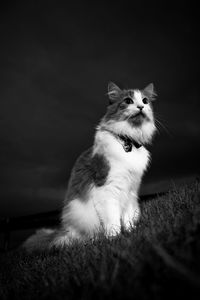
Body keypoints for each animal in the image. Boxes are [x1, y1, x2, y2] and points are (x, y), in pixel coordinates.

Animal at [23, 82, 157, 251]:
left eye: (145, 101)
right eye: (128, 101)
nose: (140, 107)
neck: (128, 141)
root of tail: (63, 232)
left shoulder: (130, 191)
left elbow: (127, 218)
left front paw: (131, 233)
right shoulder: (107, 190)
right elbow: (113, 221)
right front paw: (115, 239)